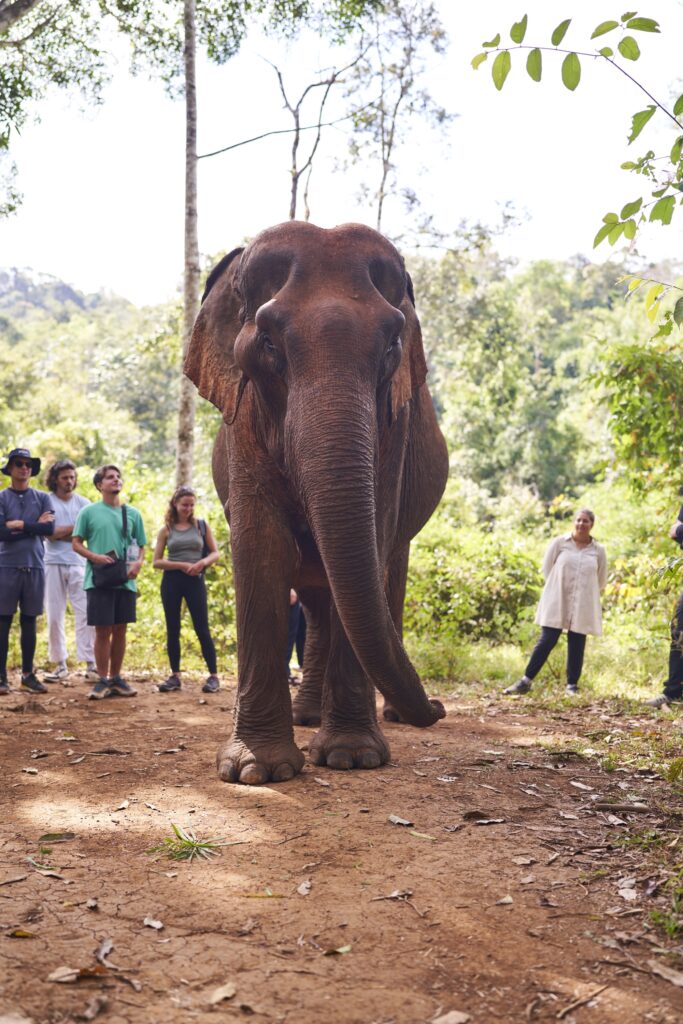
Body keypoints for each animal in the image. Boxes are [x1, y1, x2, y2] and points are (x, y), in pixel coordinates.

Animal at [184, 222, 448, 782]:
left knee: (382, 572)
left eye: (392, 345)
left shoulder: (394, 429)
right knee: (317, 597)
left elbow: (373, 540)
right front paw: (256, 771)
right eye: (268, 342)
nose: (437, 709)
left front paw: (353, 757)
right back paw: (307, 718)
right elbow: (263, 549)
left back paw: (380, 719)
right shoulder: (243, 418)